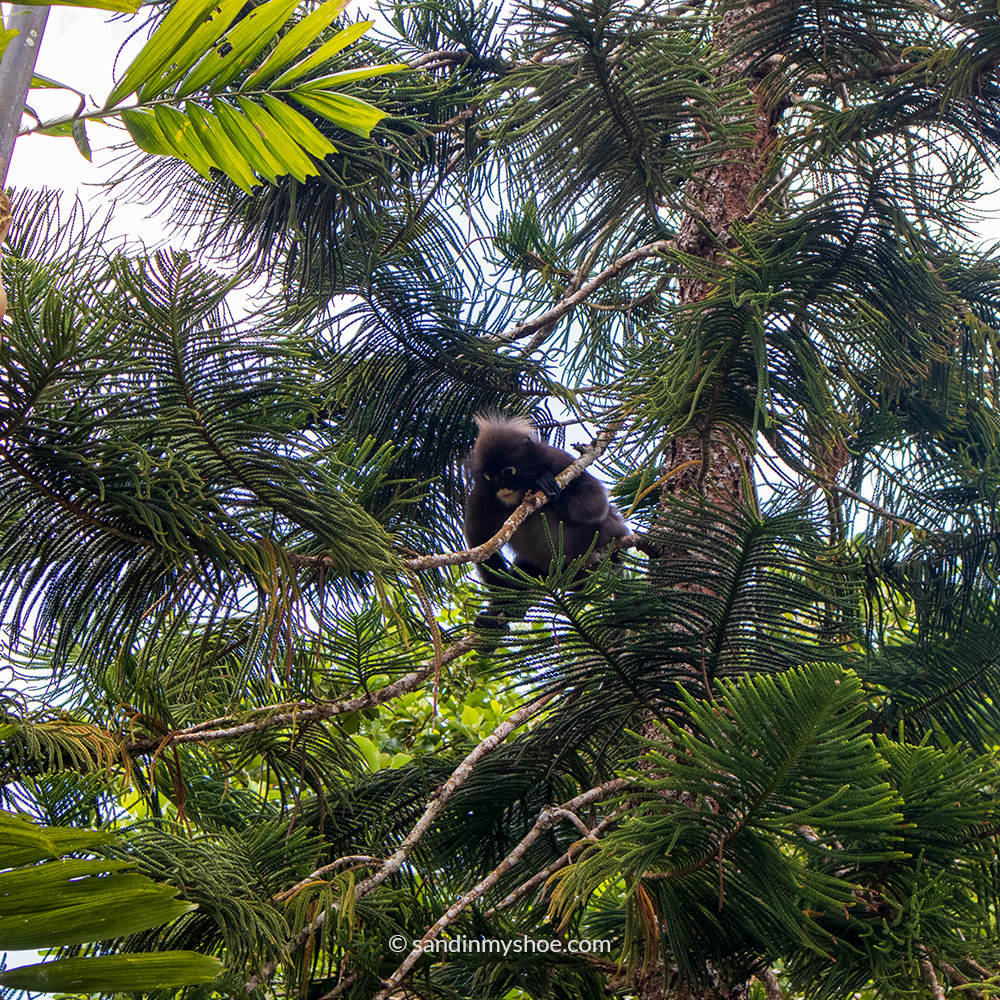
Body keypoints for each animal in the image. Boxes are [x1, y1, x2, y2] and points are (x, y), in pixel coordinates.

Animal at [463, 415, 628, 631]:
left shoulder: (557, 459)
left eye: (507, 471)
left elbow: (596, 502)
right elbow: (480, 540)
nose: (501, 487)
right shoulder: (480, 496)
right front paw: (501, 604)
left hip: (610, 536)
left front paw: (546, 487)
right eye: (489, 476)